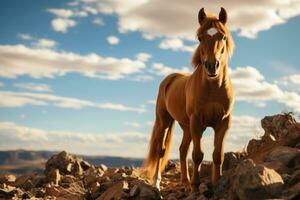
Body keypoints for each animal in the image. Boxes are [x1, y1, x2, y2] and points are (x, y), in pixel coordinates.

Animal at [142, 7, 234, 192]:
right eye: (200, 38)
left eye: (223, 37)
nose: (212, 66)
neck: (213, 88)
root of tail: (170, 79)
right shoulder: (197, 121)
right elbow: (198, 155)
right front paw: (196, 185)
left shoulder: (223, 122)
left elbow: (217, 155)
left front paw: (216, 183)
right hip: (165, 122)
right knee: (161, 150)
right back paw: (157, 183)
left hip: (186, 127)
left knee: (182, 150)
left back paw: (184, 181)